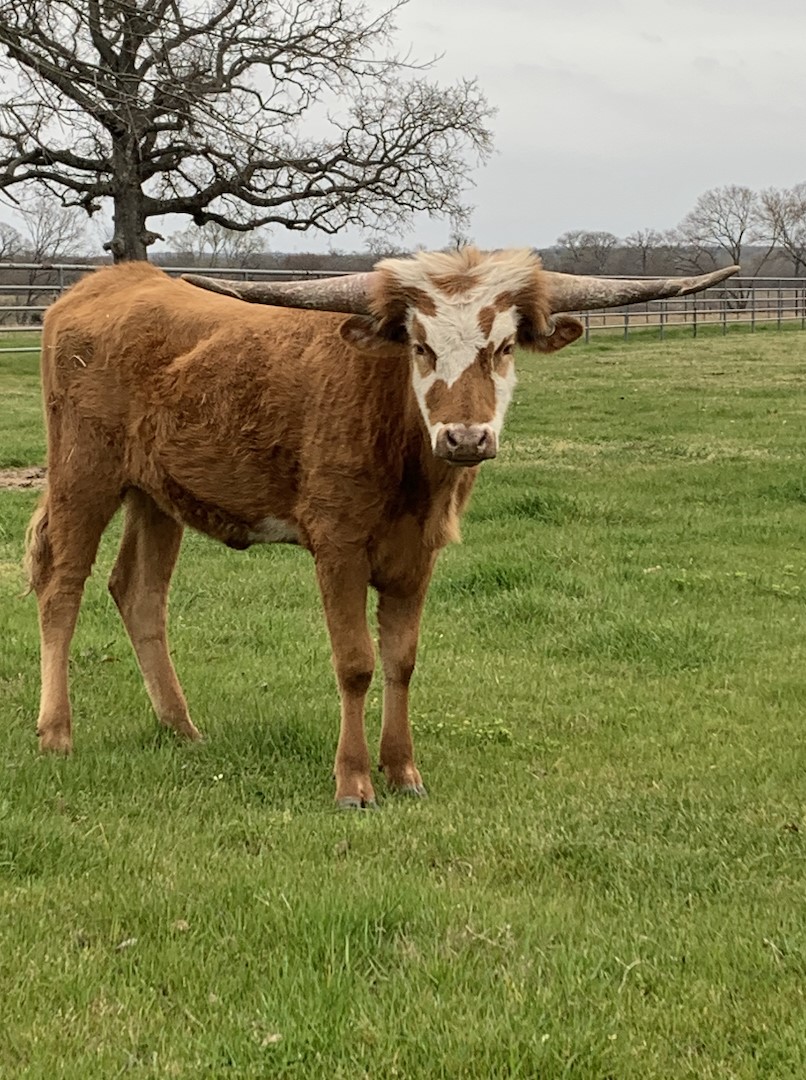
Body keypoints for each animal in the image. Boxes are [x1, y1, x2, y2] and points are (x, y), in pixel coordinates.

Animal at [24, 248, 738, 807]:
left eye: (504, 347)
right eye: (420, 347)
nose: (466, 437)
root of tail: (102, 285)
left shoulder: (417, 554)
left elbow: (402, 661)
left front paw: (403, 771)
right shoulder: (336, 546)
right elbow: (355, 663)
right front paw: (353, 782)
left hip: (157, 495)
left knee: (139, 592)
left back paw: (181, 728)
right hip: (82, 473)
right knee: (62, 587)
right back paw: (56, 731)